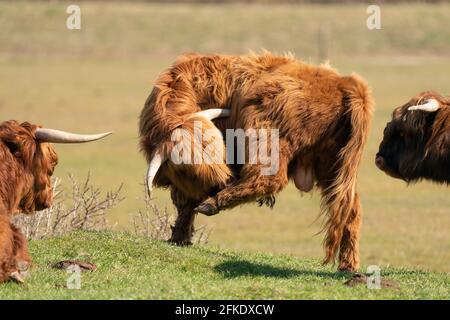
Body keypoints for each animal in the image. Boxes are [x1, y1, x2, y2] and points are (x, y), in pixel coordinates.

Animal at [140, 52, 372, 270]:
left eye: (219, 150)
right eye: (187, 168)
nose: (221, 183)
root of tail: (345, 83)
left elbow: (185, 201)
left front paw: (179, 237)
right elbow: (184, 203)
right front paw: (180, 238)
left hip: (264, 129)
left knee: (268, 179)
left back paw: (212, 204)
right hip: (334, 167)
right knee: (350, 209)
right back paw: (348, 264)